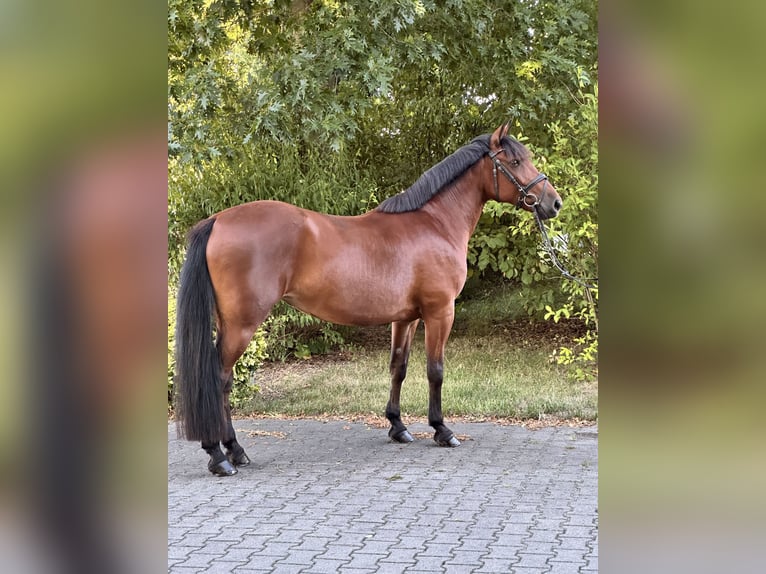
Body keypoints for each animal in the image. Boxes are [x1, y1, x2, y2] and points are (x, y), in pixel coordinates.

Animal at [174, 122, 562, 476]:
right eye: (514, 161)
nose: (554, 203)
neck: (435, 224)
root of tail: (217, 220)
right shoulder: (440, 312)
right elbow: (435, 370)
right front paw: (441, 430)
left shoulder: (406, 317)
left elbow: (398, 367)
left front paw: (398, 427)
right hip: (242, 324)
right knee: (220, 380)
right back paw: (222, 455)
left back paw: (233, 451)